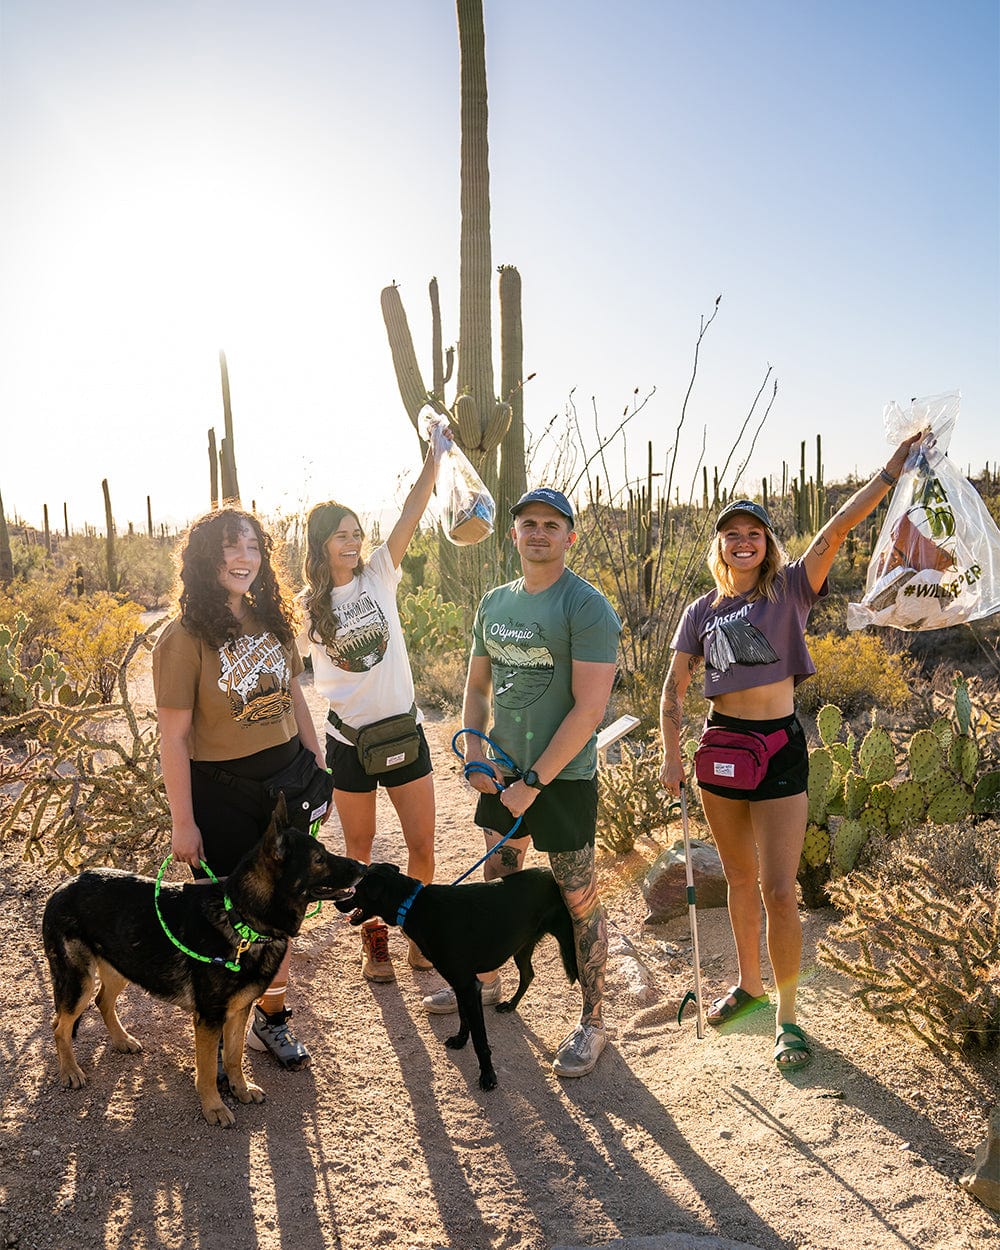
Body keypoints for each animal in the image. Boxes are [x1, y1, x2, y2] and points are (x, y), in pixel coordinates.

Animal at [44, 795, 362, 1130]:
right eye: (319, 859)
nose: (364, 868)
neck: (242, 921)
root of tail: (64, 884)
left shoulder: (238, 1011)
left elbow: (234, 1056)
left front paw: (240, 1089)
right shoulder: (209, 1019)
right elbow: (208, 1069)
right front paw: (214, 1107)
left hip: (122, 966)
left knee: (103, 1001)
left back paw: (121, 1040)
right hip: (79, 981)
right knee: (60, 1026)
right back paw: (70, 1071)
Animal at [340, 865, 577, 1090]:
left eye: (356, 889)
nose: (337, 903)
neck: (414, 905)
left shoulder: (468, 986)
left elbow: (480, 1040)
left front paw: (488, 1076)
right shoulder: (460, 985)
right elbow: (464, 1019)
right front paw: (460, 1040)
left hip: (572, 947)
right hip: (522, 946)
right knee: (528, 974)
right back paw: (510, 1004)